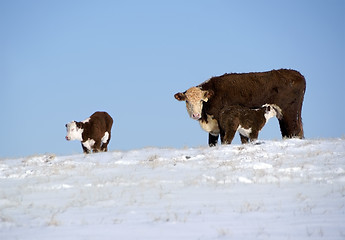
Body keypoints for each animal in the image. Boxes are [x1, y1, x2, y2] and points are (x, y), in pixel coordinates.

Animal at [173, 68, 306, 145]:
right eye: (187, 101)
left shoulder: (223, 125)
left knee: (293, 132)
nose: (195, 115)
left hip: (289, 113)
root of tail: (298, 75)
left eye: (201, 100)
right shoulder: (213, 131)